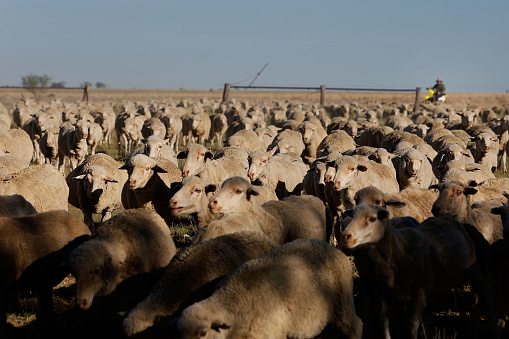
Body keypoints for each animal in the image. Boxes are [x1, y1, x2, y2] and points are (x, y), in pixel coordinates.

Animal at [342, 205, 496, 339]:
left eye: (372, 219)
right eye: (352, 216)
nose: (346, 235)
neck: (400, 250)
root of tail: (447, 217)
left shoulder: (421, 292)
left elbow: (412, 325)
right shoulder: (387, 293)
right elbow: (383, 324)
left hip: (473, 267)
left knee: (486, 297)